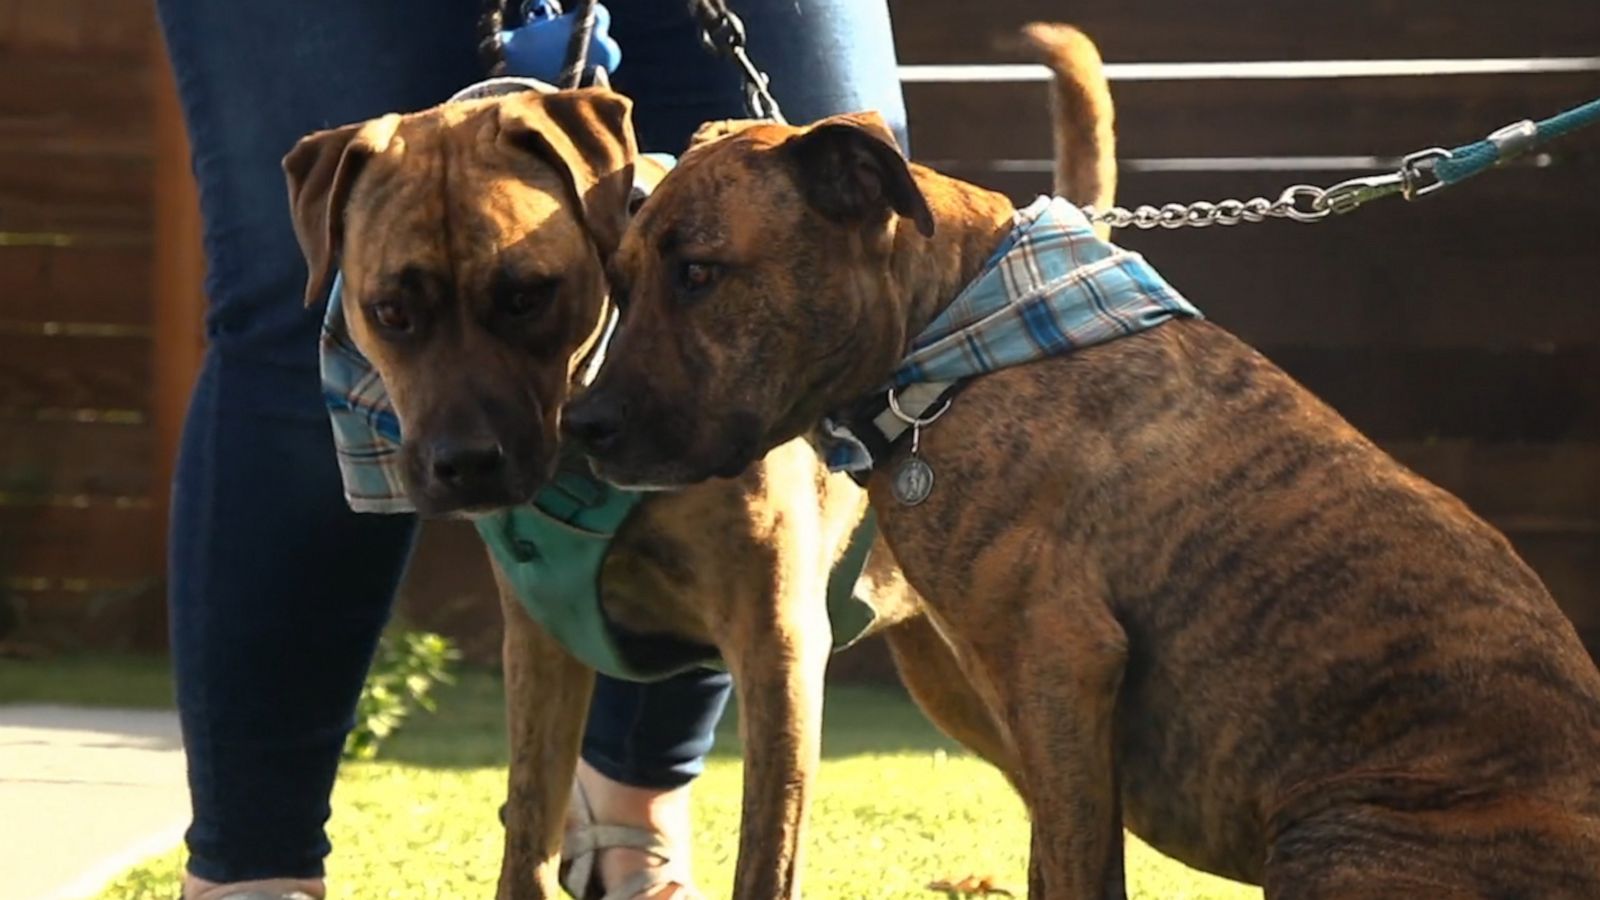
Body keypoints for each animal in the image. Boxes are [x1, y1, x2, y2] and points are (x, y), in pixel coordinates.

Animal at [278, 35, 1113, 890]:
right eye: (389, 312)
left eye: (528, 296)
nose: (469, 463)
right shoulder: (540, 652)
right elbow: (527, 841)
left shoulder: (778, 653)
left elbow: (766, 857)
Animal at [569, 21, 1600, 896]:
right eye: (620, 277)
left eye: (700, 273)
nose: (583, 423)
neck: (950, 338)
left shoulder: (1062, 670)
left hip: (1334, 835)